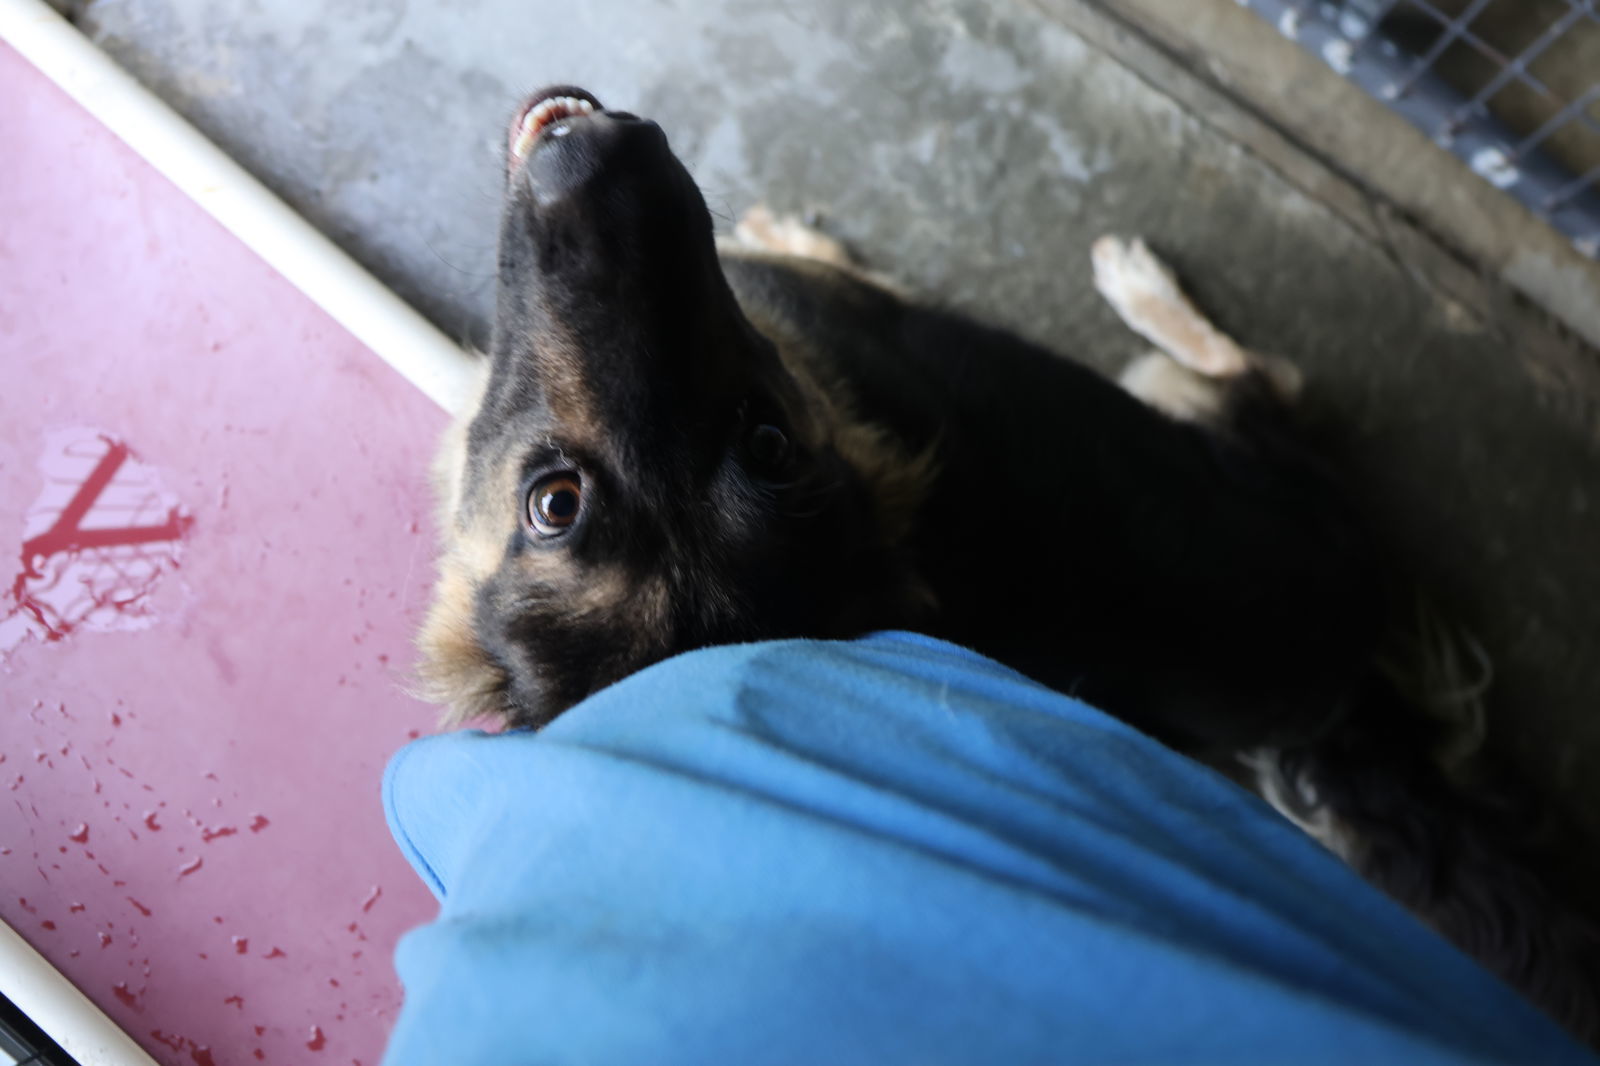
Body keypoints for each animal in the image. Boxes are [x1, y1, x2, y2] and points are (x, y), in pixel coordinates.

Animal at [416, 85, 1600, 1037]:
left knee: (1263, 368)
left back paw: (1140, 285)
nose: (607, 168)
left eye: (768, 443)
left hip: (1197, 415)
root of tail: (1352, 682)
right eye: (553, 503)